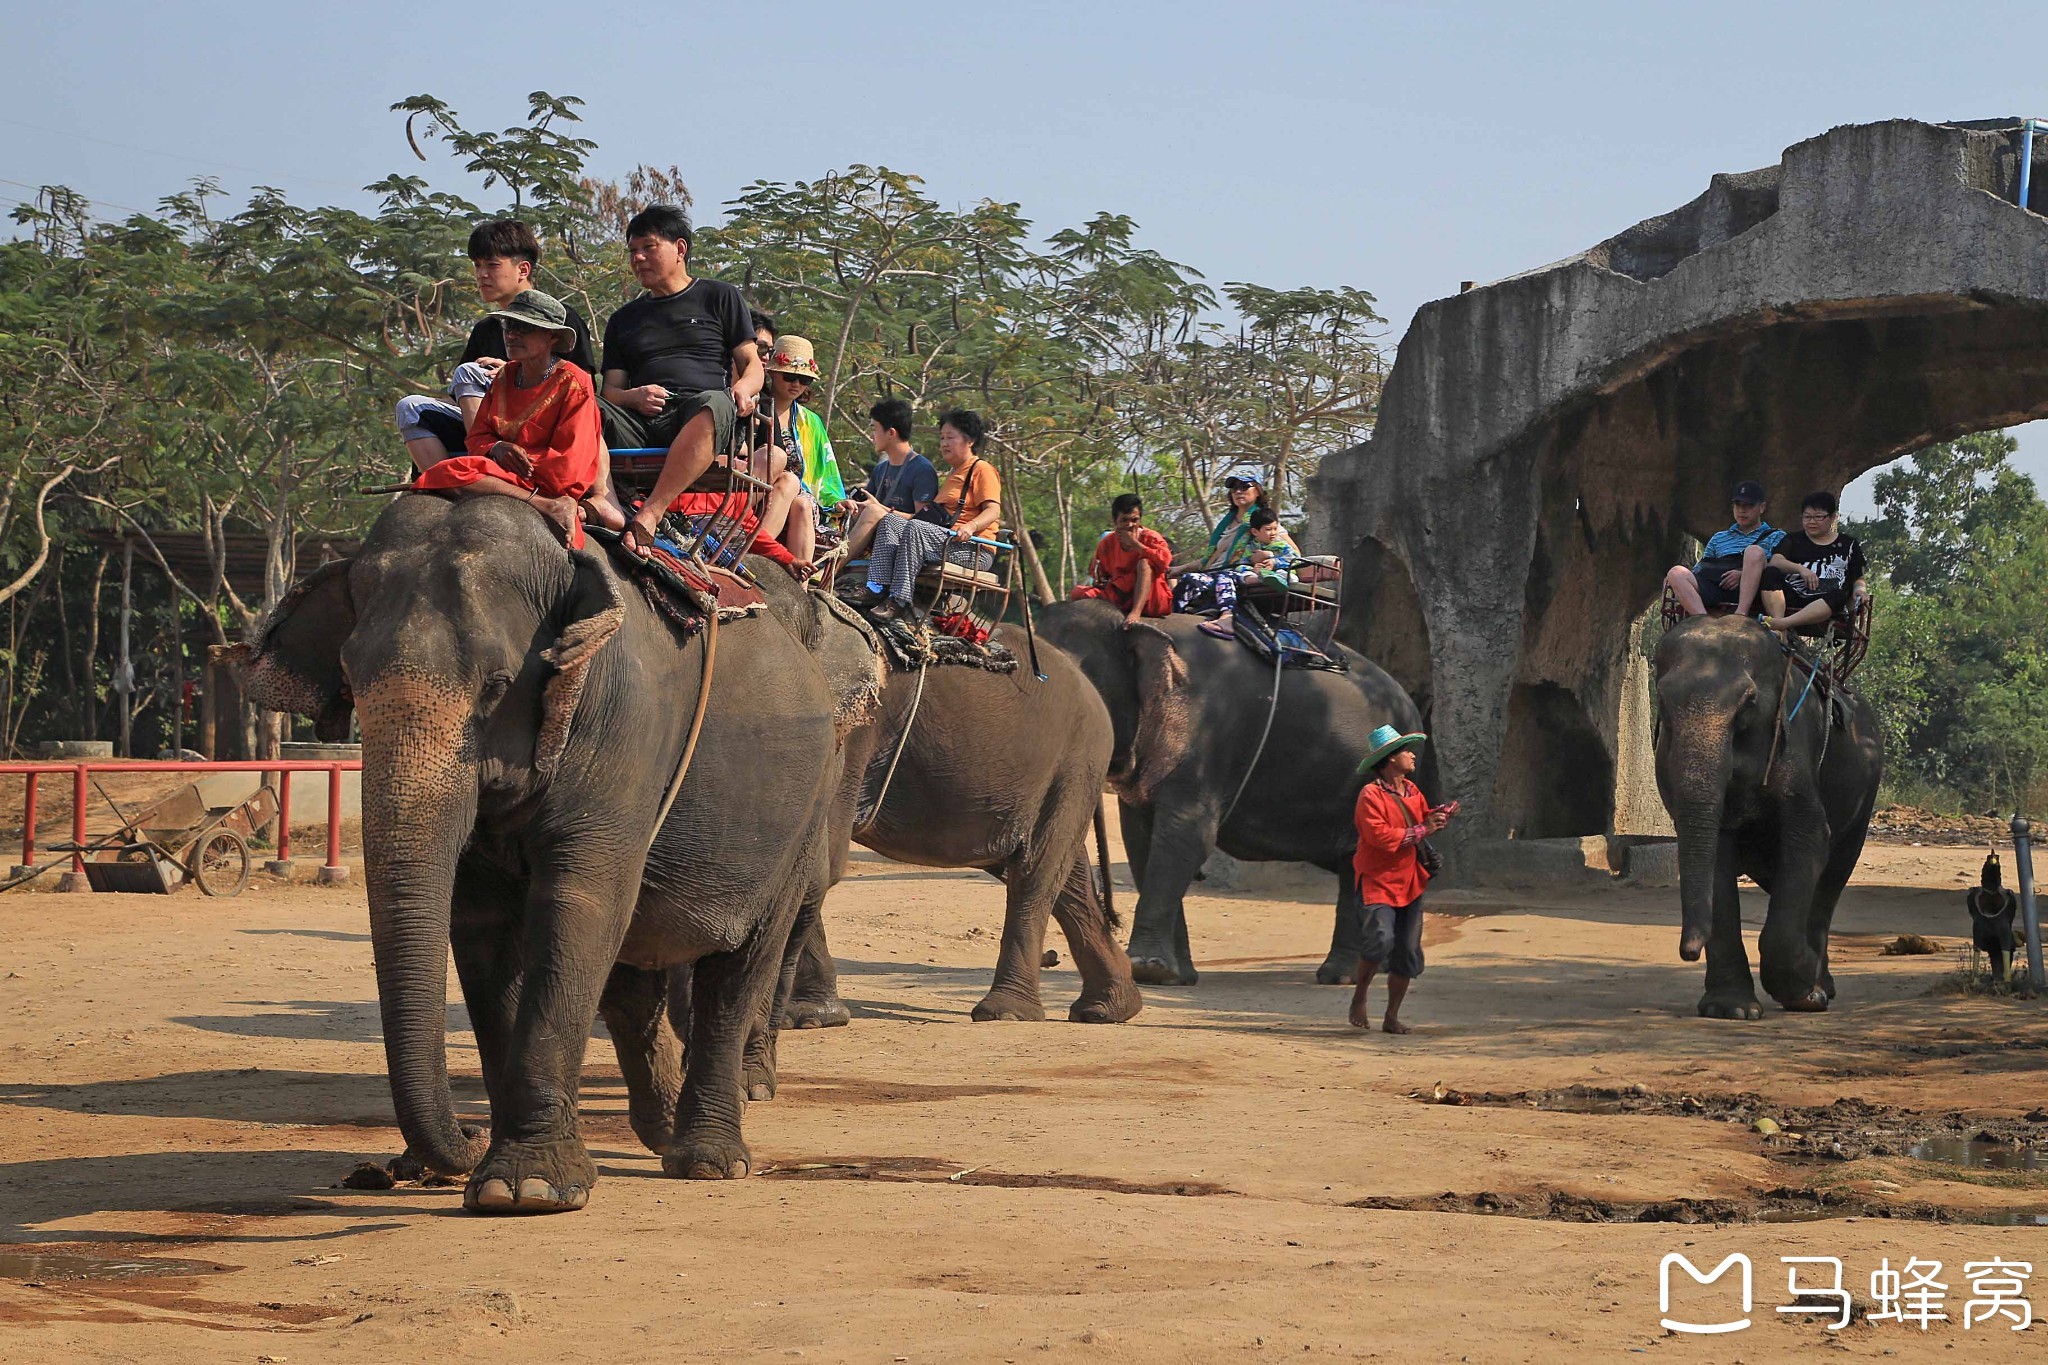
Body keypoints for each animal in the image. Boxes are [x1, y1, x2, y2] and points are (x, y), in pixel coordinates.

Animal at [239, 493, 864, 1219]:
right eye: (351, 681)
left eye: (496, 685)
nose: (461, 1136)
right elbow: (482, 927)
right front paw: (508, 1179)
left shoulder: (627, 725)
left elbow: (578, 906)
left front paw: (527, 1190)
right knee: (634, 979)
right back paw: (659, 1128)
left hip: (805, 808)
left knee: (739, 967)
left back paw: (706, 1160)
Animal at [1040, 597, 1425, 982]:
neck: (1138, 624)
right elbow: (1142, 842)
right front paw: (1175, 976)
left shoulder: (1209, 733)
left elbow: (1186, 836)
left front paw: (1149, 970)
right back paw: (1352, 972)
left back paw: (1367, 972)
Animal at [1654, 613, 1875, 1019]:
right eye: (1661, 702)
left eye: (1749, 703)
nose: (1688, 951)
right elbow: (1717, 855)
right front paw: (1732, 1010)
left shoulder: (1795, 746)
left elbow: (1808, 839)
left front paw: (1803, 995)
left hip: (1865, 796)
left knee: (1832, 878)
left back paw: (1820, 986)